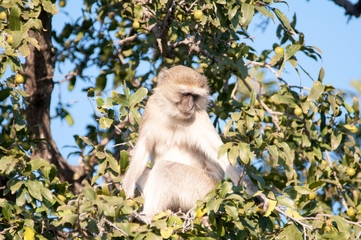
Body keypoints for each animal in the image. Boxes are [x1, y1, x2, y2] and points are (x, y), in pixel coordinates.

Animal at [121, 65, 268, 223]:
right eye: (185, 94)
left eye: (195, 96)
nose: (191, 106)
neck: (173, 115)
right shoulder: (151, 107)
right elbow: (142, 149)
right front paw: (127, 189)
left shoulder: (199, 117)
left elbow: (221, 155)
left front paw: (257, 194)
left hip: (203, 191)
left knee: (165, 168)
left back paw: (148, 217)